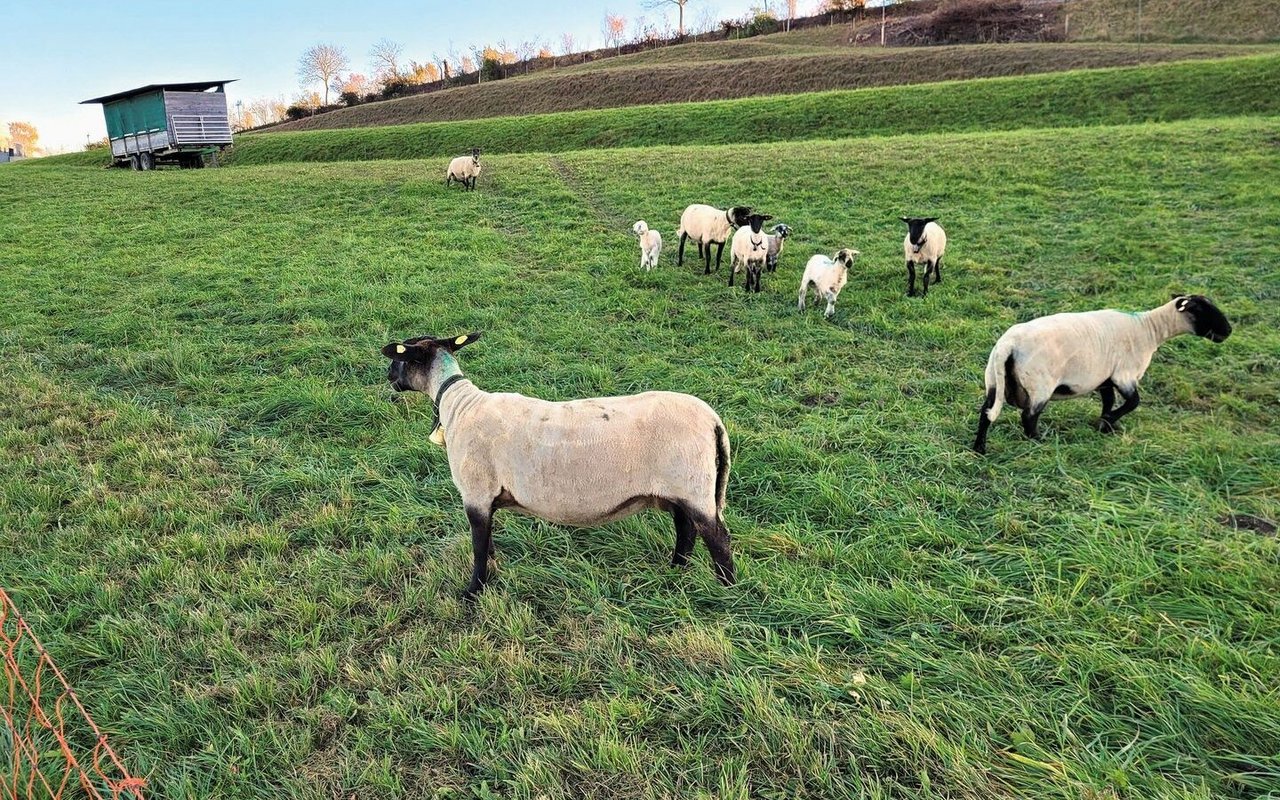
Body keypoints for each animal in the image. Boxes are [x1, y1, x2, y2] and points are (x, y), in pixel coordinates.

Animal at [378, 327, 737, 596]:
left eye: (400, 358)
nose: (388, 376)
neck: (459, 404)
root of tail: (713, 420)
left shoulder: (476, 493)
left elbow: (478, 546)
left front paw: (473, 591)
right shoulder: (486, 499)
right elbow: (488, 541)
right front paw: (492, 571)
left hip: (692, 486)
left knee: (717, 538)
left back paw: (727, 591)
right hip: (679, 490)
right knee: (686, 531)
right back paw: (676, 571)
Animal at [972, 294, 1233, 455]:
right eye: (1201, 309)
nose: (1228, 331)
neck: (1149, 329)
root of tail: (1008, 344)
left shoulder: (1105, 378)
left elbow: (1109, 401)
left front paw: (1107, 426)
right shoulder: (1124, 374)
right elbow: (1133, 402)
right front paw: (1106, 422)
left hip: (994, 380)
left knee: (986, 413)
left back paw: (979, 448)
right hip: (1040, 385)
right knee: (1028, 417)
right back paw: (1038, 441)